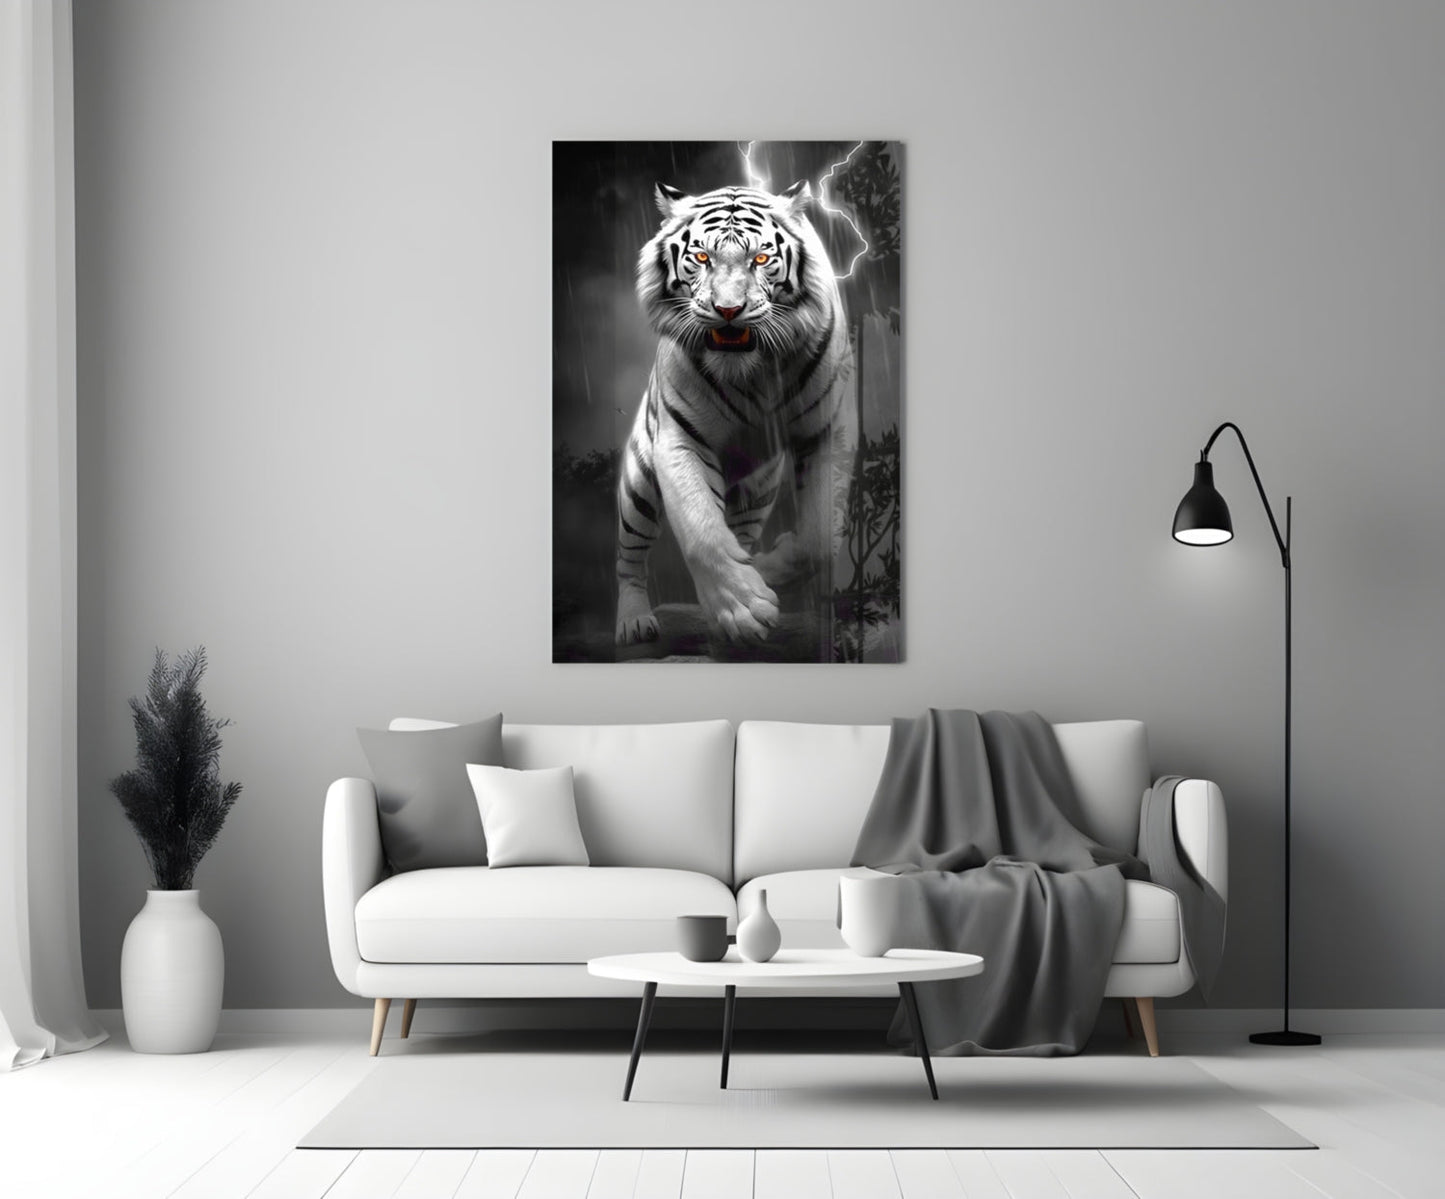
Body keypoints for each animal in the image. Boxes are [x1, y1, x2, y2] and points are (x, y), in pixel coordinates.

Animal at [615, 180, 853, 647]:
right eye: (701, 257)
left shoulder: (825, 430)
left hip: (758, 490)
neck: (753, 369)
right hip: (638, 484)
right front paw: (743, 610)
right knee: (629, 558)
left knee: (740, 532)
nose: (728, 310)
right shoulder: (680, 438)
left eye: (760, 258)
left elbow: (818, 539)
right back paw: (634, 621)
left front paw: (764, 571)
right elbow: (701, 529)